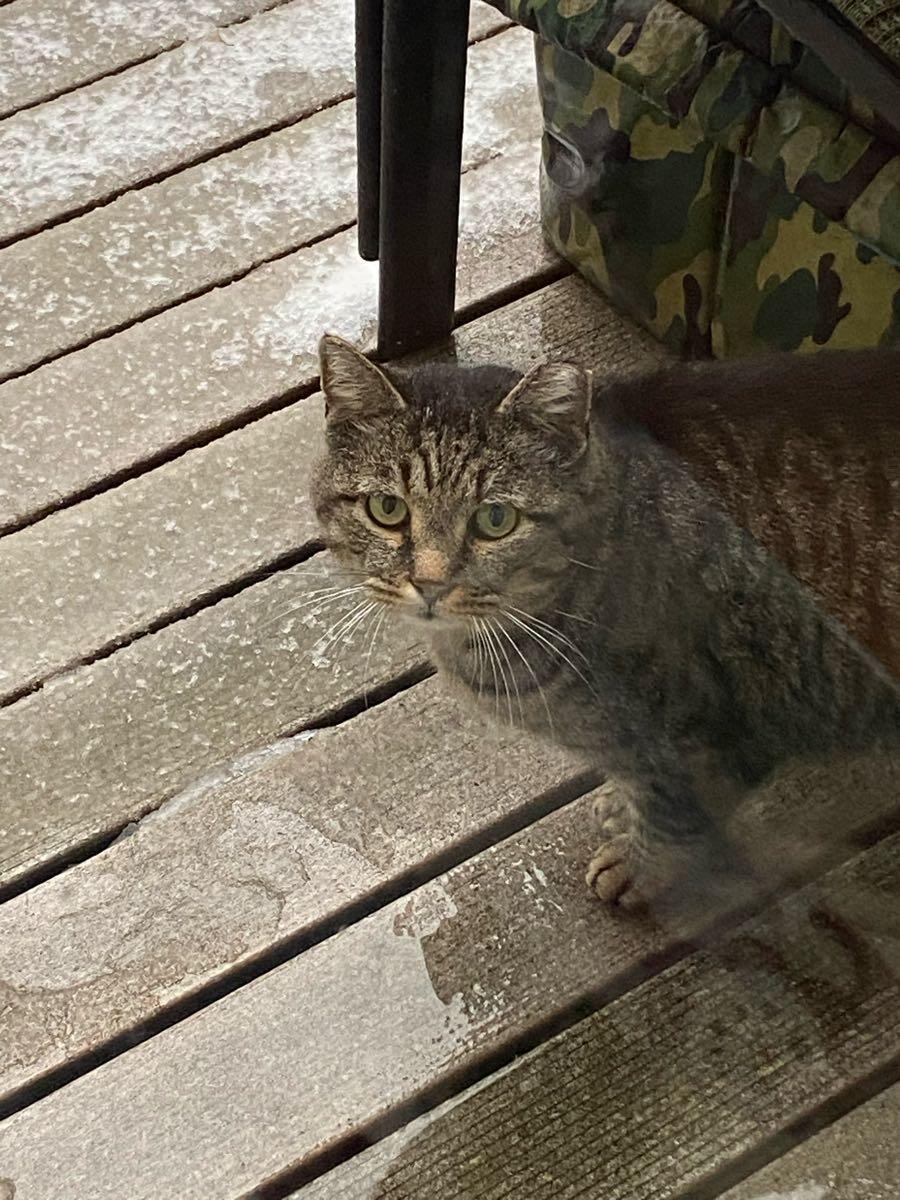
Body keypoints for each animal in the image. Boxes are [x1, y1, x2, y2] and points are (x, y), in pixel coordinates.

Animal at [312, 333, 900, 902]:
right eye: (387, 509)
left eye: (495, 519)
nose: (431, 583)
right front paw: (622, 802)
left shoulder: (716, 729)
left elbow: (676, 813)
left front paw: (641, 867)